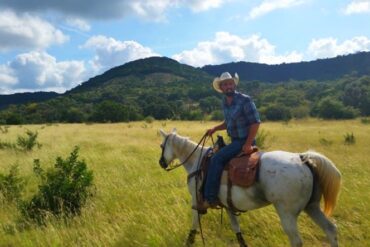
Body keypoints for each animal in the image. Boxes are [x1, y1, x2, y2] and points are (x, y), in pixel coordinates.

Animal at [159, 129, 342, 247]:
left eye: (162, 146)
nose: (161, 163)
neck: (198, 161)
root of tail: (303, 158)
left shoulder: (196, 200)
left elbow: (194, 223)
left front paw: (188, 242)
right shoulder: (227, 205)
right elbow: (236, 227)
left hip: (287, 213)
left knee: (297, 241)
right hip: (312, 207)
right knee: (330, 230)